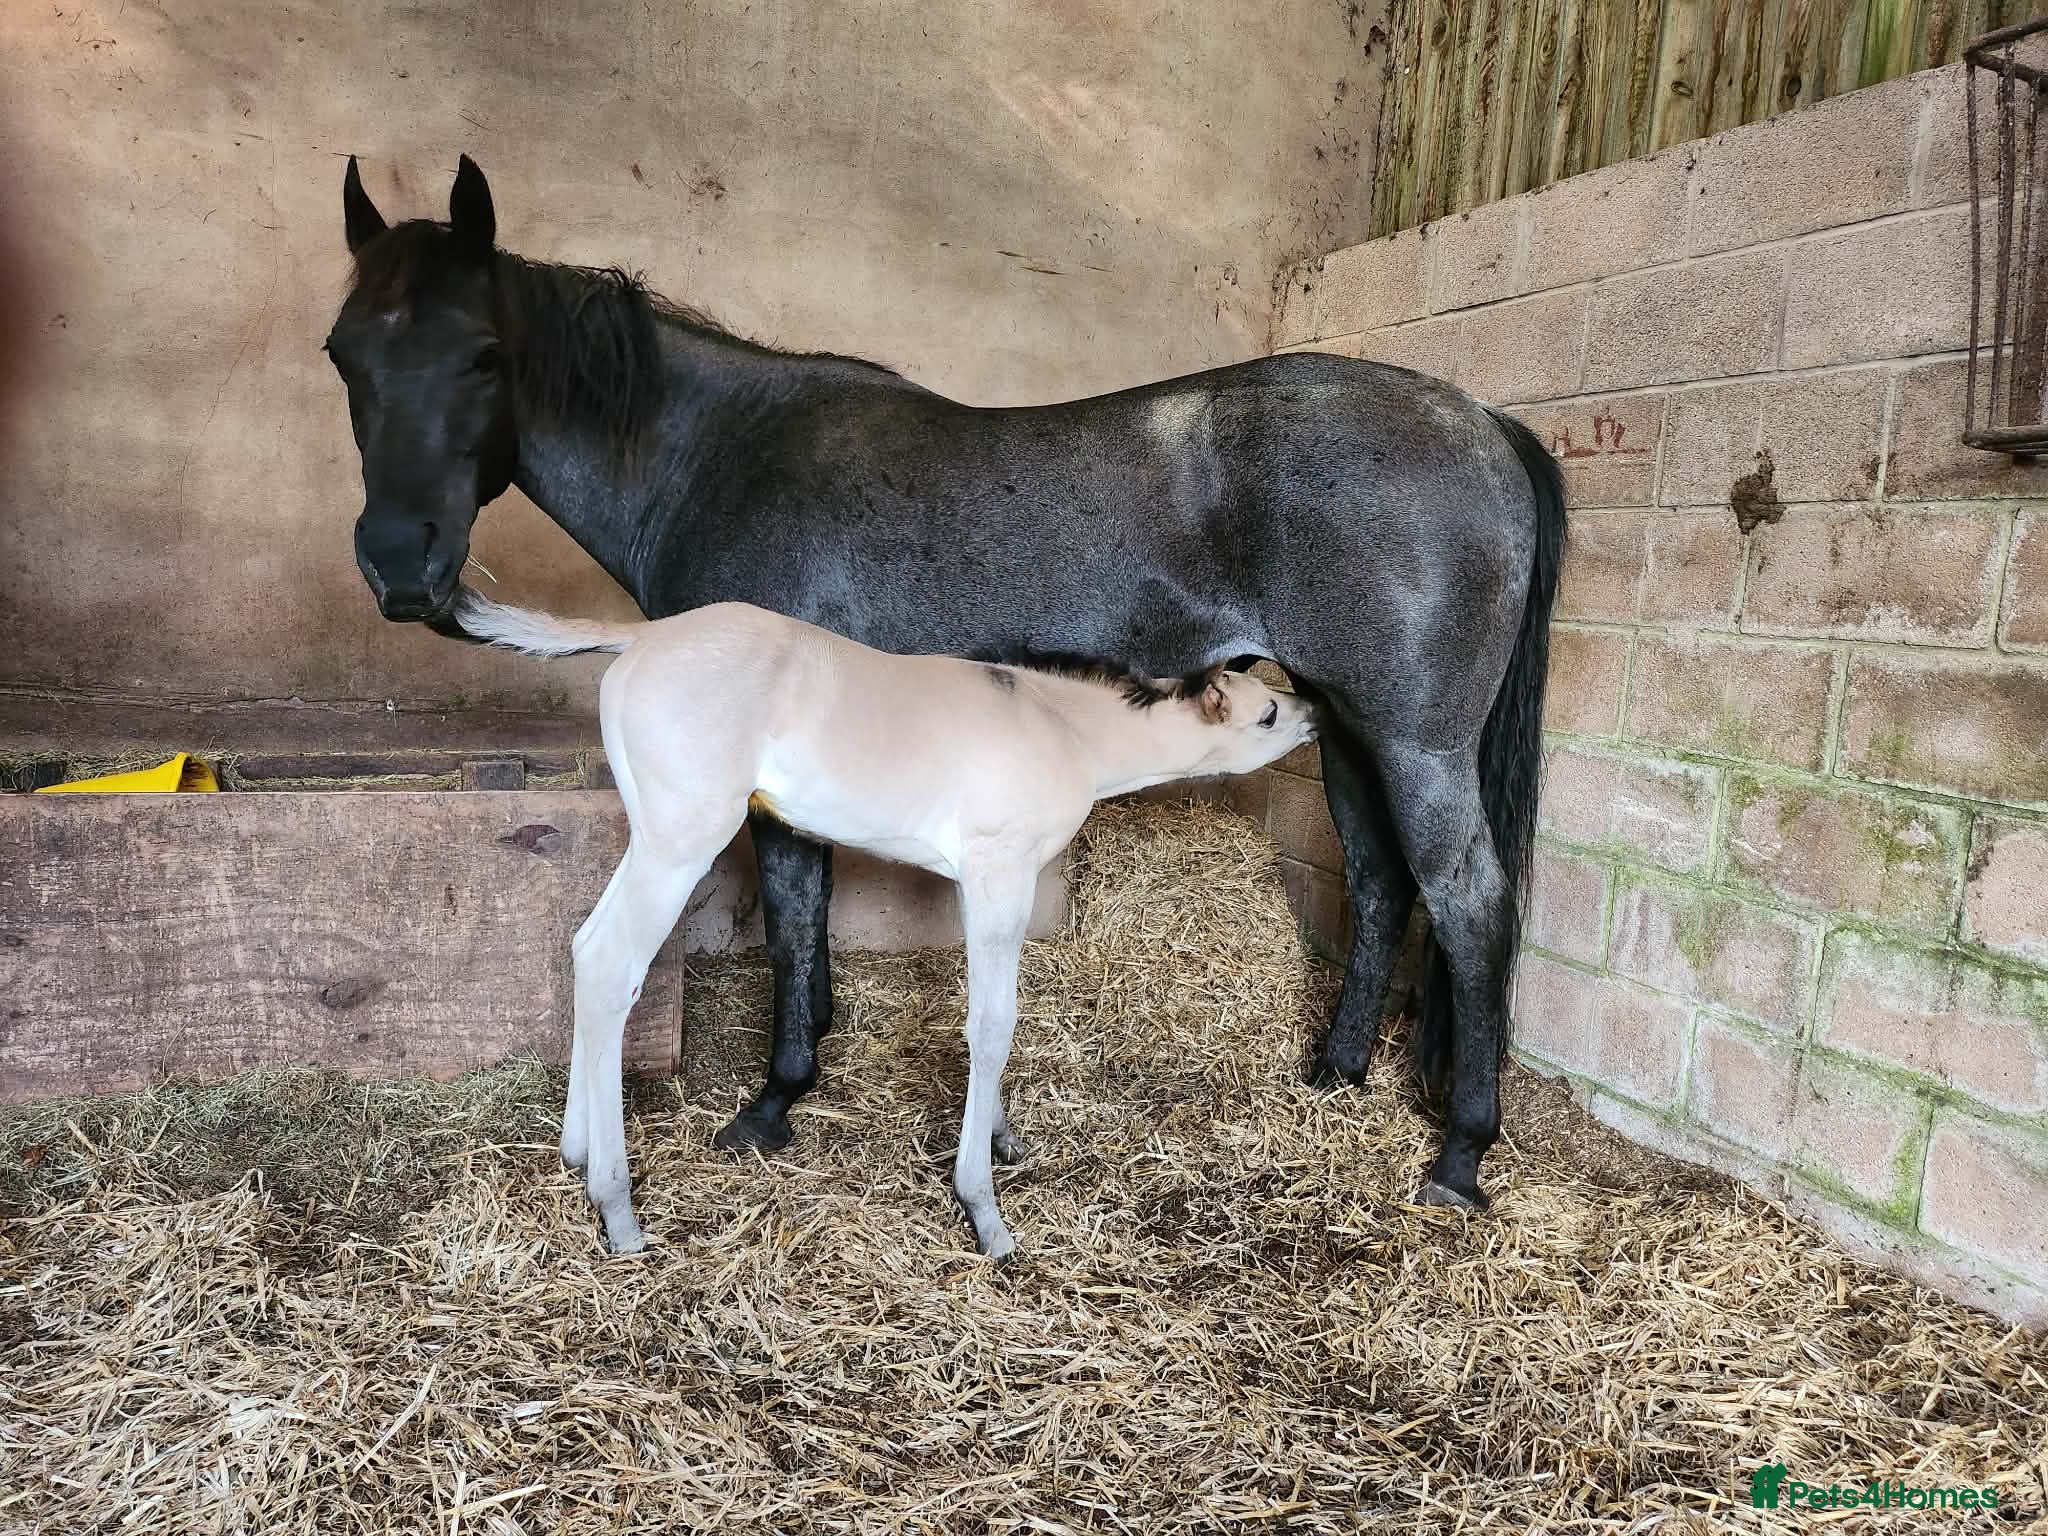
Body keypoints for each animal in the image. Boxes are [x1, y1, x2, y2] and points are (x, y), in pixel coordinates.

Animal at [454, 586, 1317, 1257]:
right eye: (1268, 714)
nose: (1313, 714)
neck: (1059, 727)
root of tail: (647, 634)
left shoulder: (980, 885)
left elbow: (984, 1016)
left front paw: (1002, 1137)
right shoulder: (999, 875)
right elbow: (993, 1024)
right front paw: (984, 1211)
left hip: (651, 836)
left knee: (584, 947)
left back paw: (574, 1150)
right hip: (681, 840)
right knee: (611, 965)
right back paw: (617, 1209)